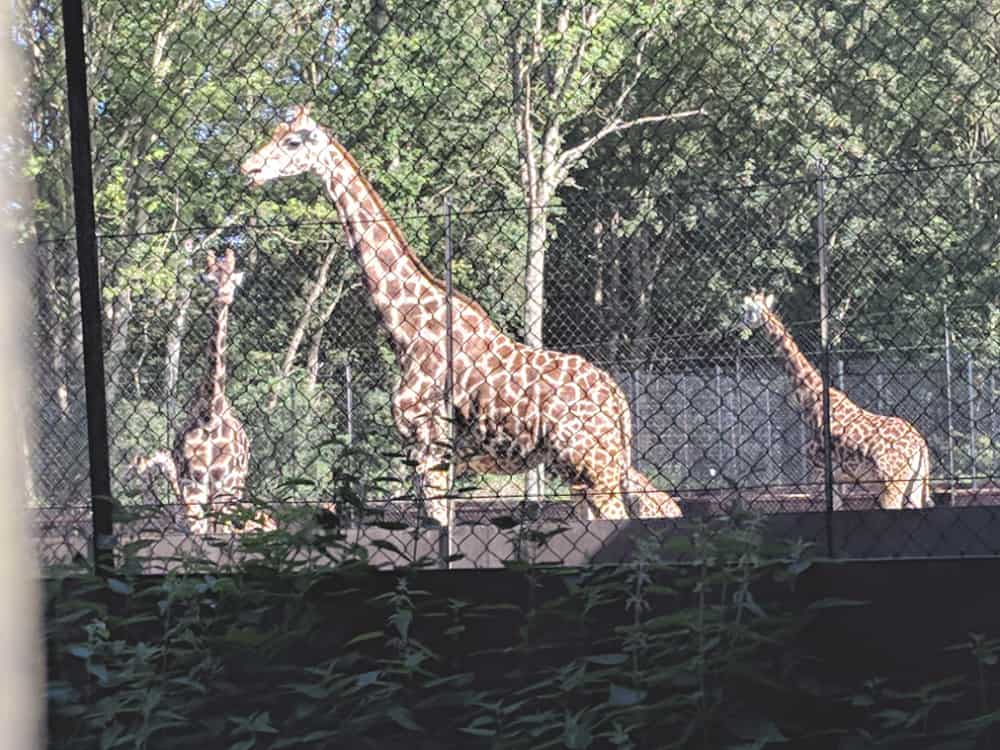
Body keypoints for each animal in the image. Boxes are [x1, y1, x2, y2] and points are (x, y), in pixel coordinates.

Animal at [133, 250, 276, 532]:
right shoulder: (193, 486)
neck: (210, 414)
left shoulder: (225, 486)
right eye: (210, 280)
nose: (224, 295)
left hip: (235, 489)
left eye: (232, 278)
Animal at [242, 106, 684, 524]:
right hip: (584, 472)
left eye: (293, 141)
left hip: (594, 467)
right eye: (275, 133)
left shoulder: (426, 446)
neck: (406, 330)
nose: (249, 167)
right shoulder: (442, 458)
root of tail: (620, 404)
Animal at [740, 294, 932, 512]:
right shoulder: (840, 478)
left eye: (745, 310)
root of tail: (920, 445)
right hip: (915, 485)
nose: (740, 326)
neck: (812, 398)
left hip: (892, 482)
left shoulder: (820, 469)